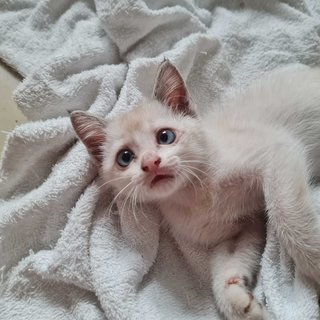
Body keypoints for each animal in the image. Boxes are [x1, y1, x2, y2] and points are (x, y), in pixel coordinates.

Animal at [71, 61, 320, 318]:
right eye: (125, 157)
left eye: (165, 136)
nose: (151, 163)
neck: (195, 194)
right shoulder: (246, 223)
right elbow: (223, 265)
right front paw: (239, 302)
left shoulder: (278, 152)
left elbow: (289, 219)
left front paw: (315, 262)